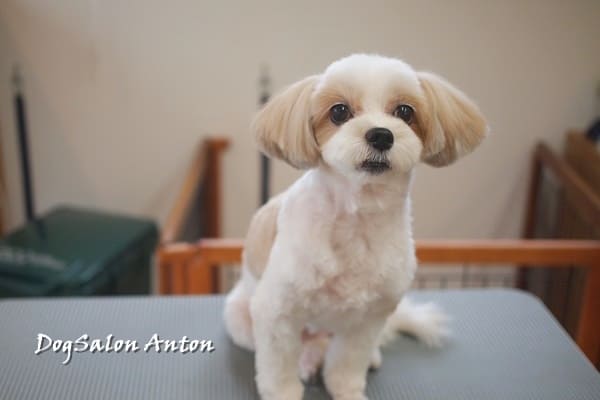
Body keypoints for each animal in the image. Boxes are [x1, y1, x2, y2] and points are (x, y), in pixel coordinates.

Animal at [224, 54, 487, 400]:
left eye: (405, 111)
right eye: (339, 111)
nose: (381, 135)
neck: (358, 216)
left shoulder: (367, 320)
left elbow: (346, 366)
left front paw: (347, 391)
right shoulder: (277, 312)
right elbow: (279, 372)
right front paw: (285, 390)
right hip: (241, 317)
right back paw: (306, 360)